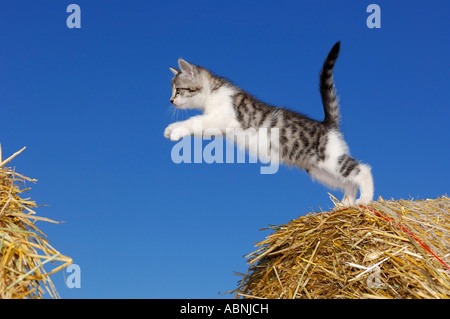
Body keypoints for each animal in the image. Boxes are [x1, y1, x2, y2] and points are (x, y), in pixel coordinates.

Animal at [163, 42, 374, 205]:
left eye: (179, 90)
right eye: (172, 91)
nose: (171, 101)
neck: (213, 91)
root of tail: (328, 125)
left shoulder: (221, 117)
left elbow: (194, 121)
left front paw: (176, 131)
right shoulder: (216, 127)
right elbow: (196, 123)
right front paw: (171, 128)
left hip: (331, 159)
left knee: (362, 170)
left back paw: (365, 199)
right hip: (319, 170)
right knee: (349, 181)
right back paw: (347, 204)